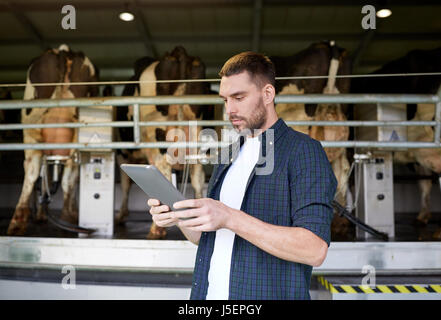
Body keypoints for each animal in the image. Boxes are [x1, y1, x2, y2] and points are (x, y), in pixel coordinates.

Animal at [6, 44, 98, 235]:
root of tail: (63, 50)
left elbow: (44, 178)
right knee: (66, 174)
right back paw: (67, 217)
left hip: (32, 127)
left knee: (33, 169)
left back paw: (19, 222)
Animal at [114, 46, 212, 239]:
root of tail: (178, 53)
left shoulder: (122, 153)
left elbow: (125, 183)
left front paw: (121, 215)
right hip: (196, 135)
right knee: (197, 176)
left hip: (157, 139)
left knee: (164, 171)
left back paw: (156, 229)